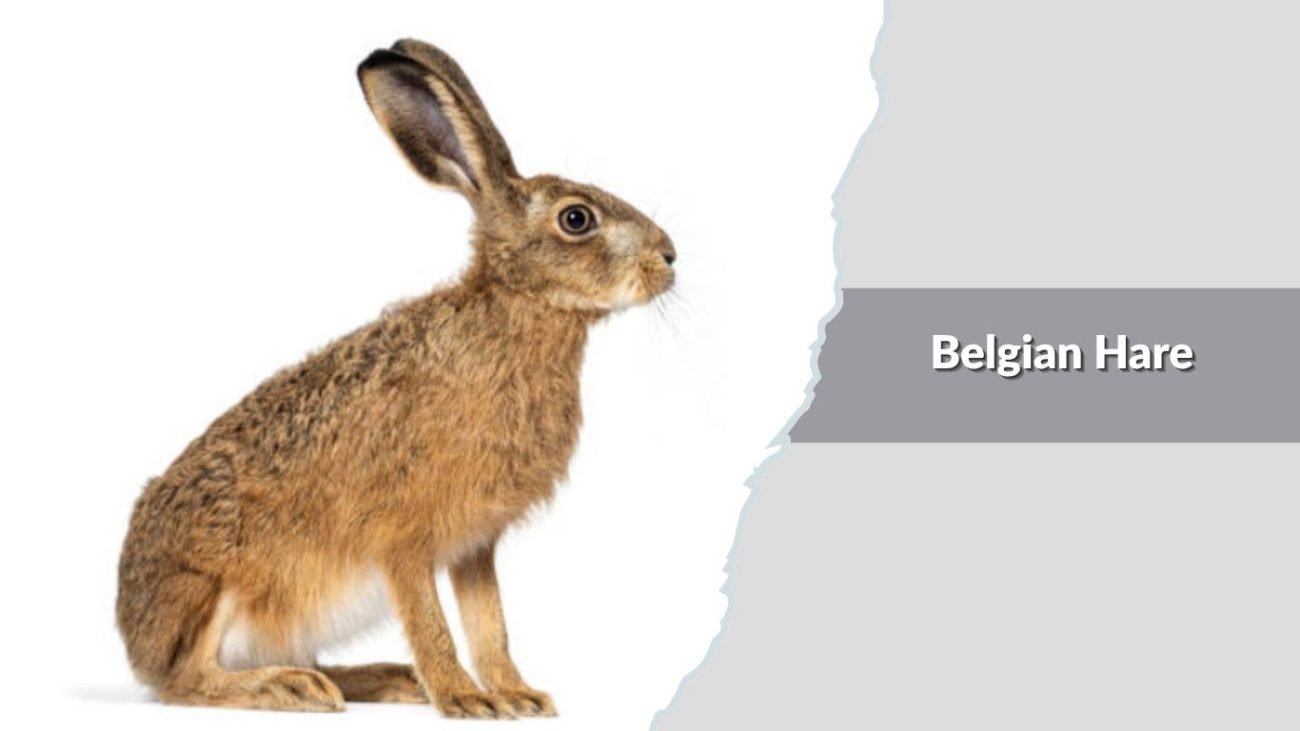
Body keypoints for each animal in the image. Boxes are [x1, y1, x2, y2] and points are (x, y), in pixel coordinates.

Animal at [115, 38, 676, 718]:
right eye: (577, 219)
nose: (669, 257)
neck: (515, 314)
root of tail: (134, 640)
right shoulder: (402, 537)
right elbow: (432, 623)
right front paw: (464, 699)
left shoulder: (474, 546)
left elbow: (491, 624)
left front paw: (516, 695)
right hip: (217, 585)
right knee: (185, 680)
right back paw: (288, 687)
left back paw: (381, 679)